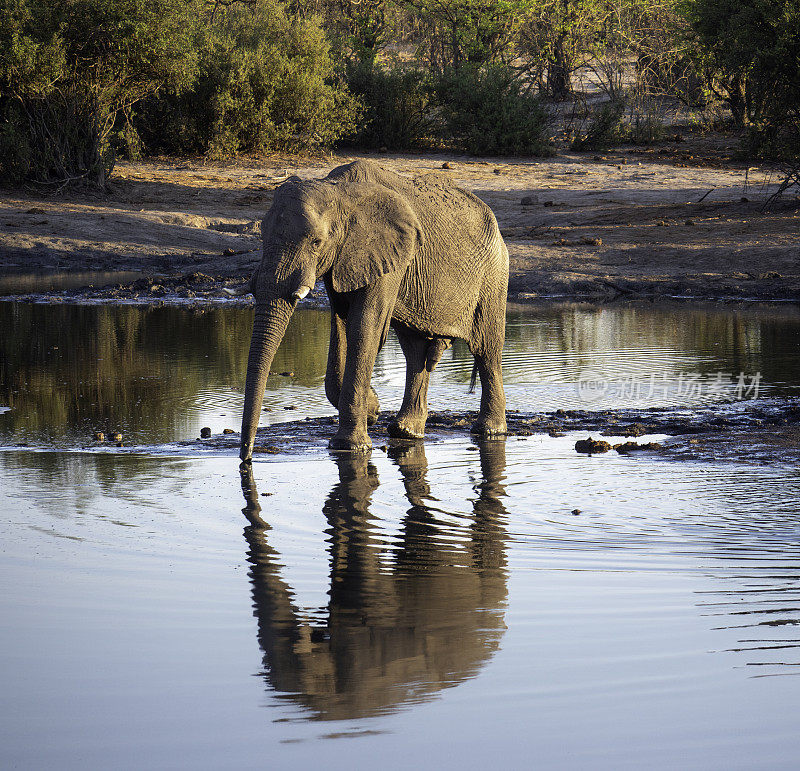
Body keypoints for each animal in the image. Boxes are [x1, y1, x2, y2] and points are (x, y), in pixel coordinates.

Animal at [238, 155, 510, 458]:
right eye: (262, 237)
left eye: (317, 242)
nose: (247, 458)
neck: (339, 190)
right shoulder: (345, 258)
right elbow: (342, 324)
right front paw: (372, 408)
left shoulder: (387, 254)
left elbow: (364, 326)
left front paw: (350, 445)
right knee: (416, 350)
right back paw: (406, 431)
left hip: (493, 274)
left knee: (486, 349)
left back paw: (489, 431)